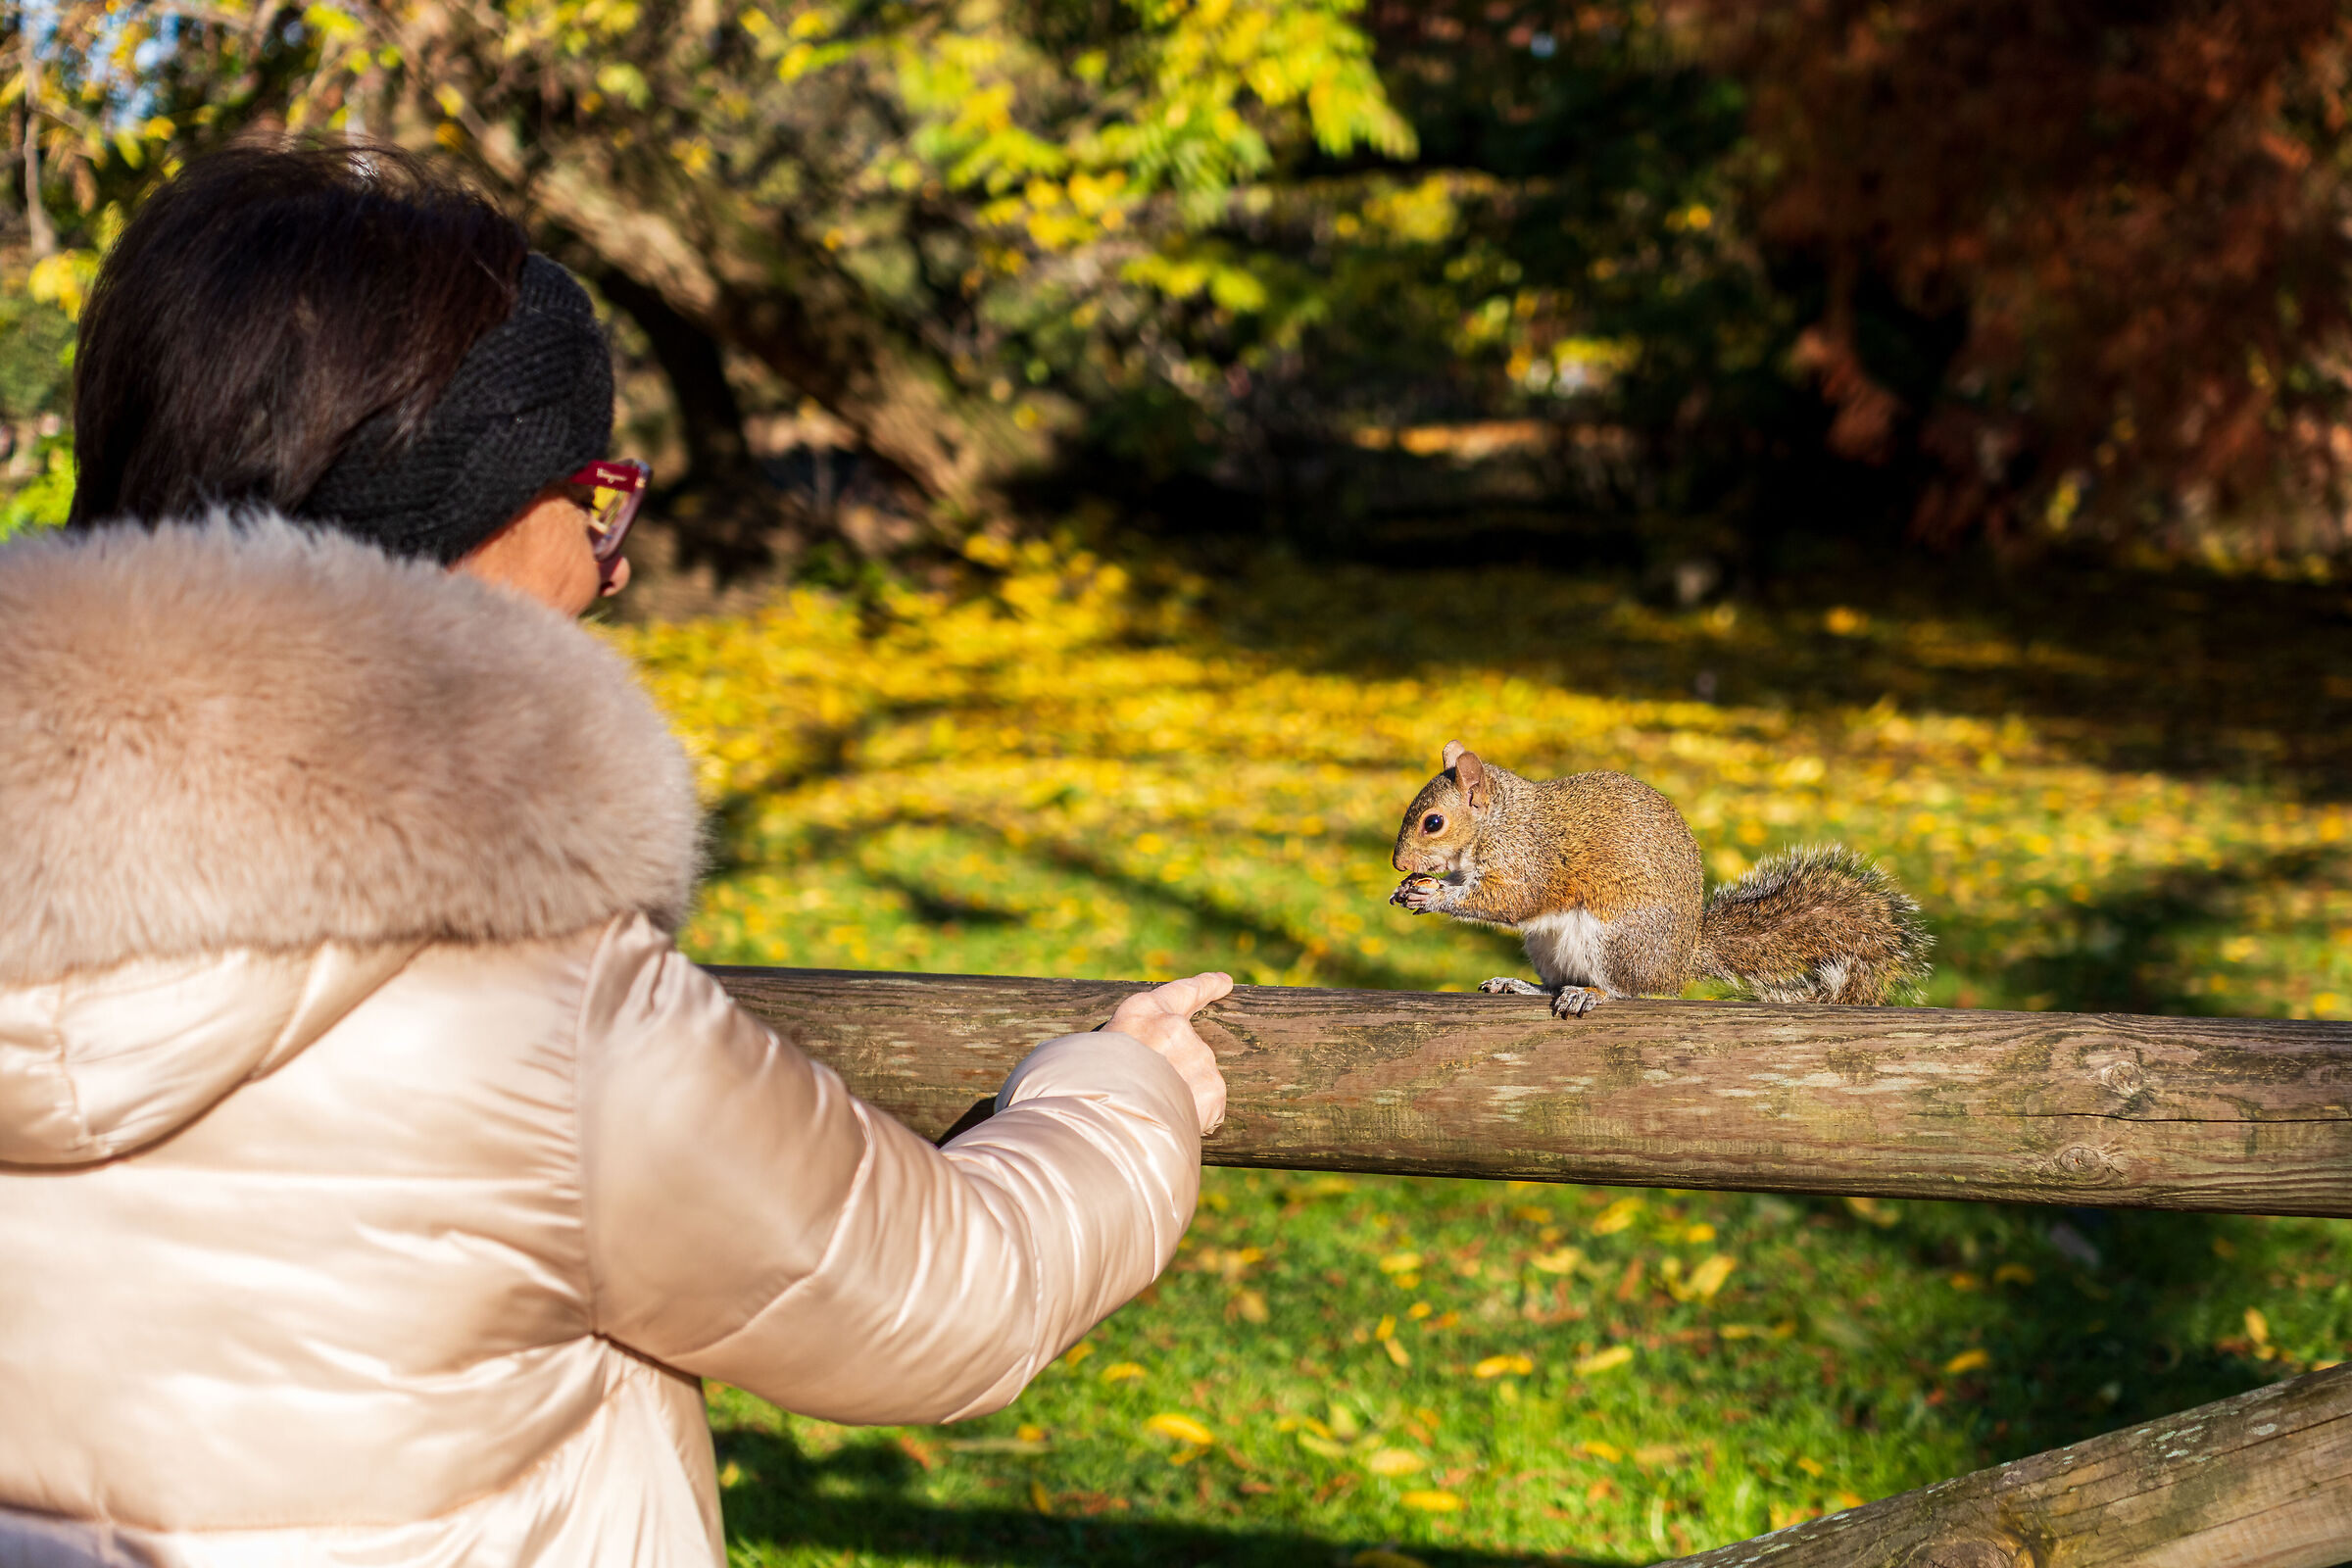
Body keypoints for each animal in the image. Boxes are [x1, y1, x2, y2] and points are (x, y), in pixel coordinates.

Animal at [1387, 740, 1931, 1017]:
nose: (1396, 863)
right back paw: (1522, 986)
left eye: (1433, 822)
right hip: (1549, 948)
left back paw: (1592, 994)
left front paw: (1434, 897)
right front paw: (1413, 888)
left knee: (1632, 990)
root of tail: (1681, 959)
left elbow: (1514, 900)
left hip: (1618, 941)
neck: (1499, 822)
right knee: (1558, 981)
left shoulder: (1530, 860)